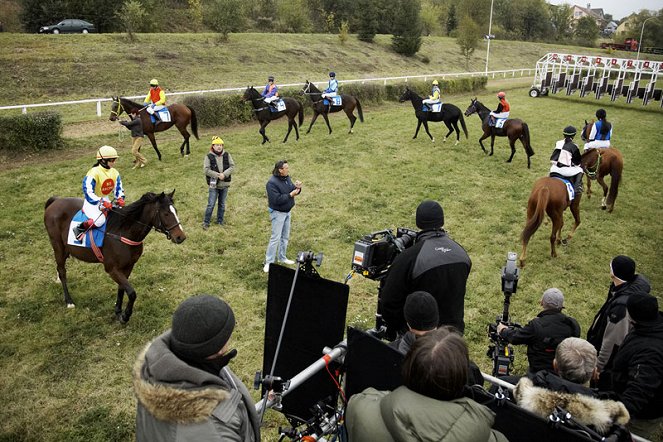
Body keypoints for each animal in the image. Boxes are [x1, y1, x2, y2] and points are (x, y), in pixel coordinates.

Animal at [43, 192, 187, 322]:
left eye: (176, 211)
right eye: (166, 214)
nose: (181, 237)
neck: (123, 232)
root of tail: (55, 200)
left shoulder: (128, 266)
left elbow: (122, 289)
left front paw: (118, 311)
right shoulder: (112, 269)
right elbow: (132, 293)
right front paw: (126, 315)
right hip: (58, 247)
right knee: (62, 271)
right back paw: (69, 301)